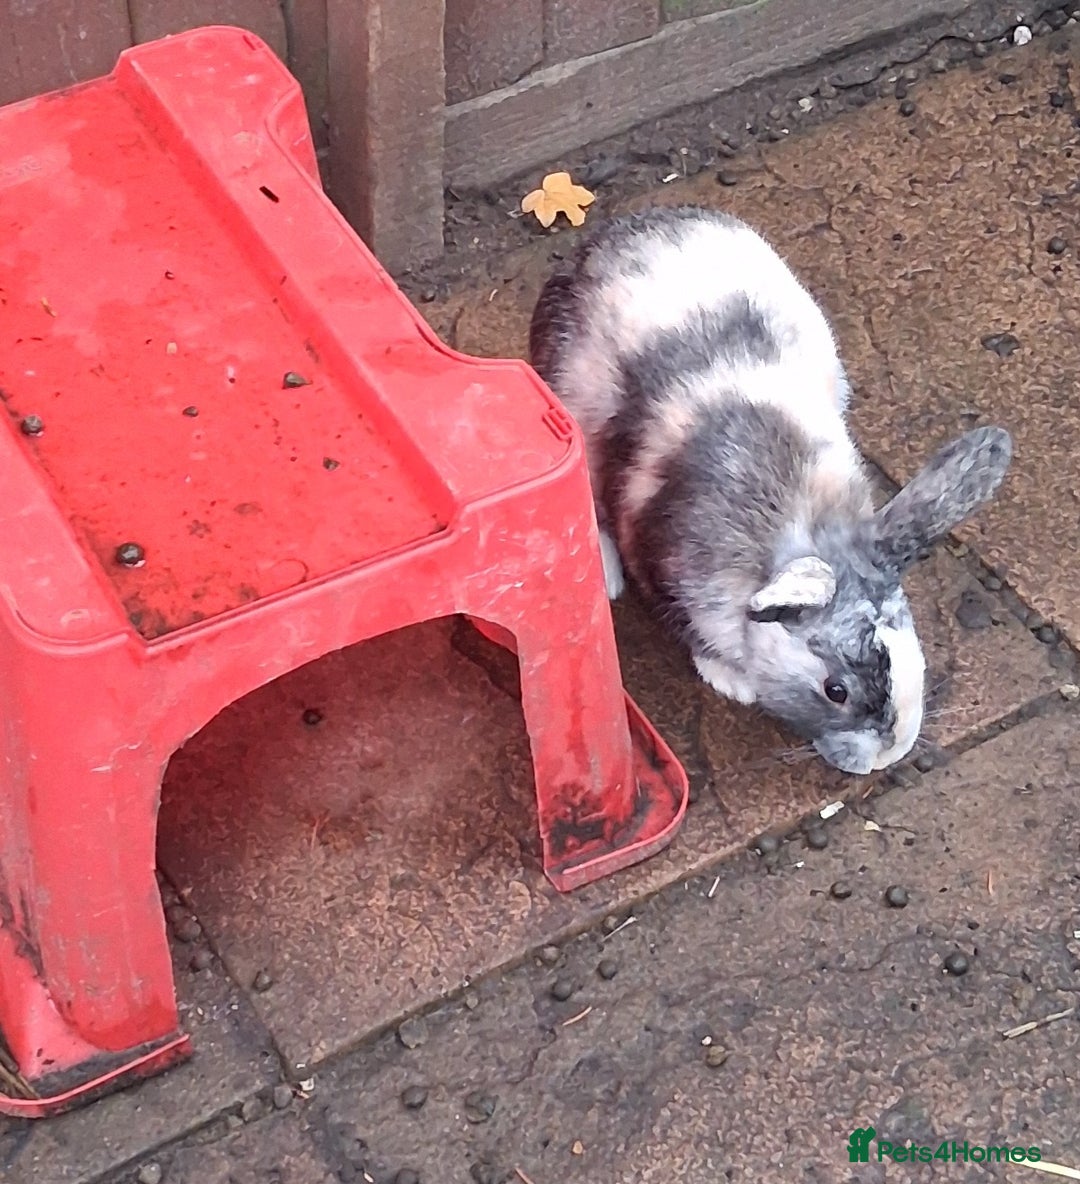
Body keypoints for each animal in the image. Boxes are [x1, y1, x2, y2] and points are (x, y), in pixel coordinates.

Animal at [528, 205, 1012, 775]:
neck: (803, 528)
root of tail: (608, 234)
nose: (888, 755)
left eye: (908, 647)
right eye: (834, 690)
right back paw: (605, 578)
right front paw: (731, 681)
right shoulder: (659, 563)